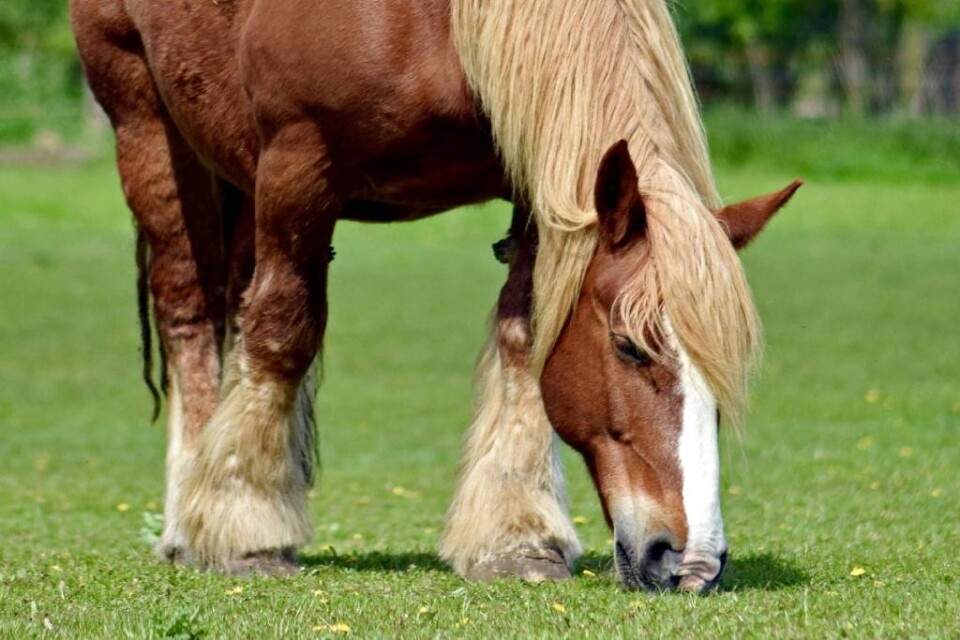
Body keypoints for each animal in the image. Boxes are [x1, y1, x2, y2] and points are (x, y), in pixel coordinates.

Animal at [71, 0, 800, 592]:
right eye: (628, 347)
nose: (691, 564)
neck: (428, 21)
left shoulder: (535, 176)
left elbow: (523, 337)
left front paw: (518, 539)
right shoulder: (296, 162)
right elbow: (282, 333)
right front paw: (245, 531)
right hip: (149, 128)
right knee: (189, 313)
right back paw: (186, 518)